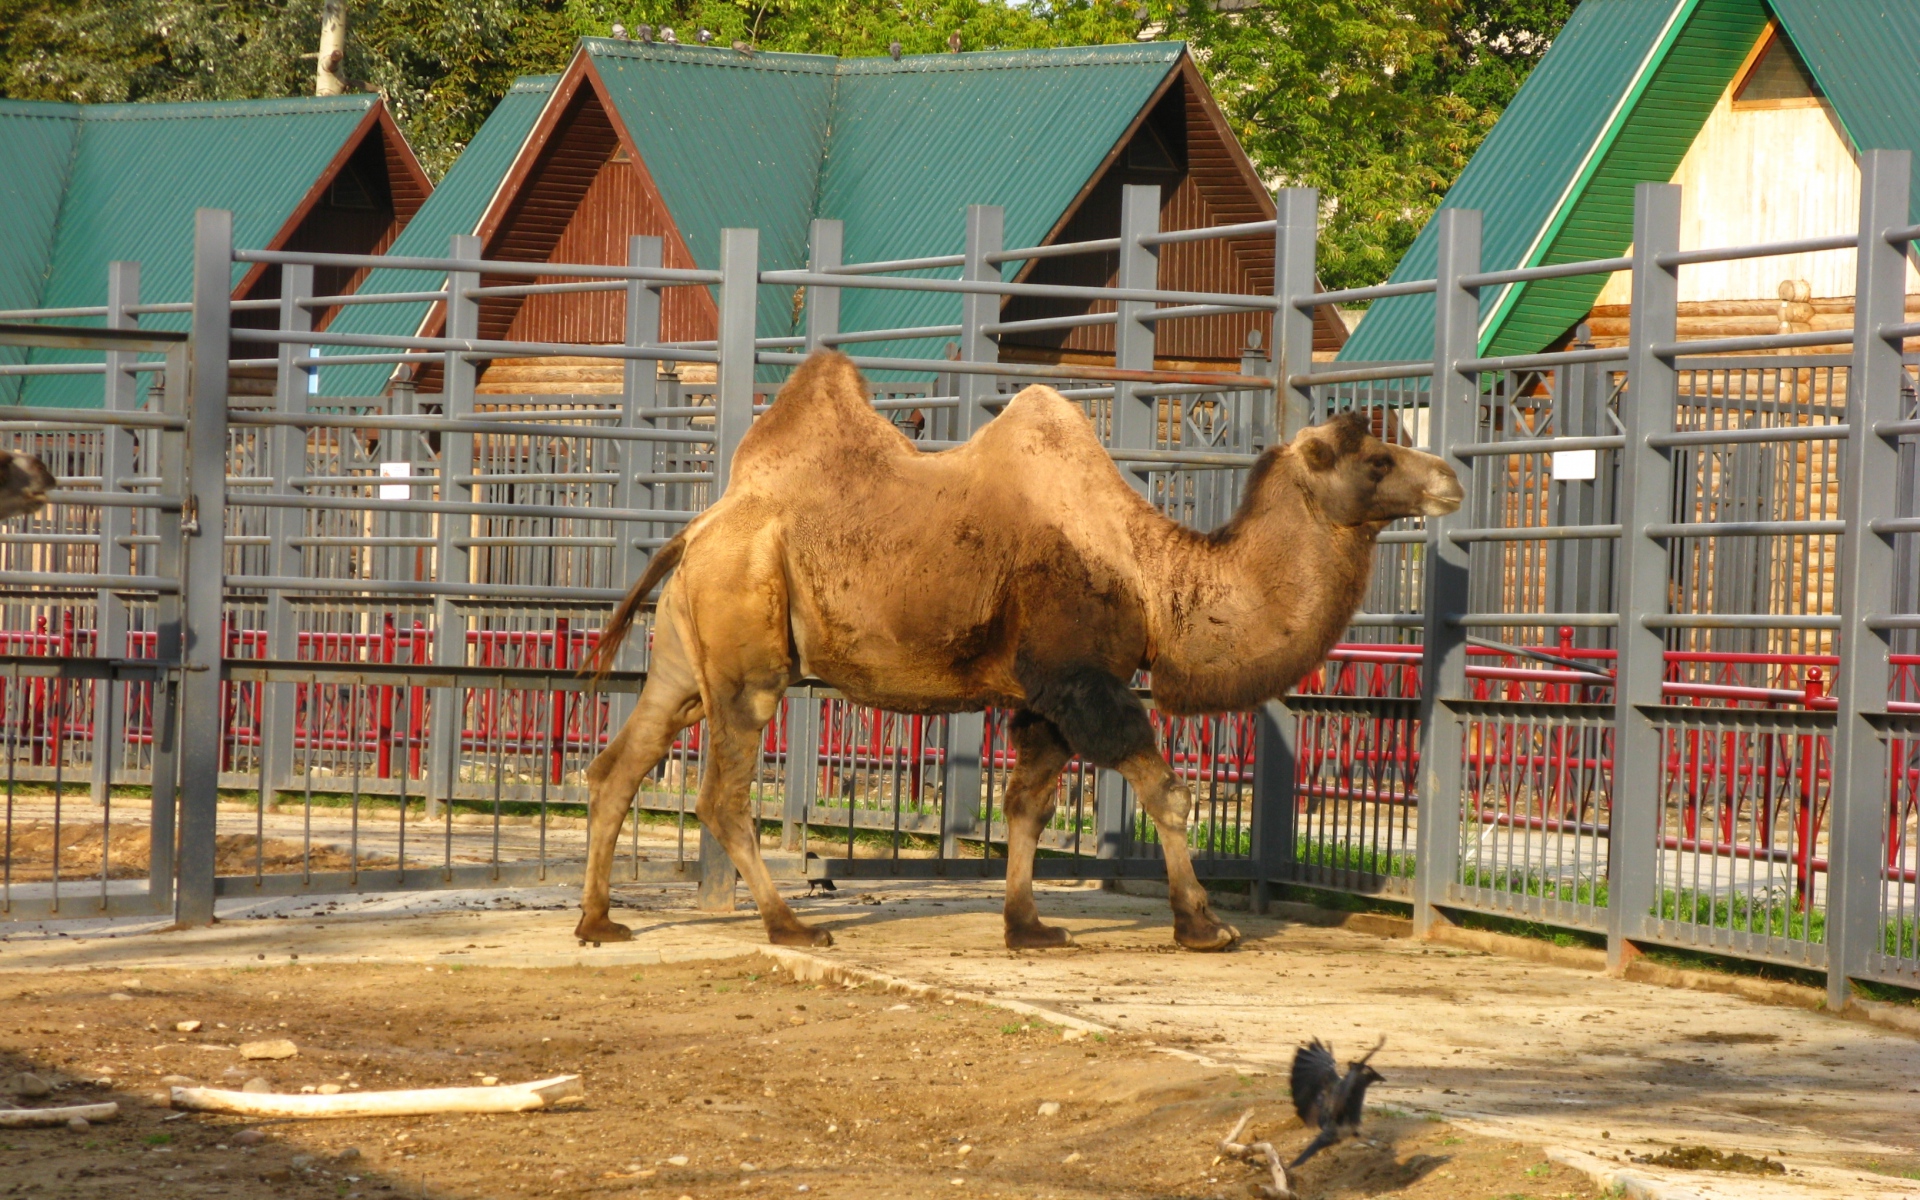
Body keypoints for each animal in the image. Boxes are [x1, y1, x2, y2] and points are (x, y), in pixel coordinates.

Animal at [576, 351, 1459, 948]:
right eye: (1376, 457)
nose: (1449, 475)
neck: (1153, 577)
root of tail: (697, 528)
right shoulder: (1082, 678)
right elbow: (1166, 790)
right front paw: (1203, 925)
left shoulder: (1043, 700)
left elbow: (1027, 805)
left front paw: (1027, 924)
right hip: (748, 655)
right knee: (721, 796)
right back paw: (791, 925)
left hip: (684, 656)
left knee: (619, 764)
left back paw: (599, 921)